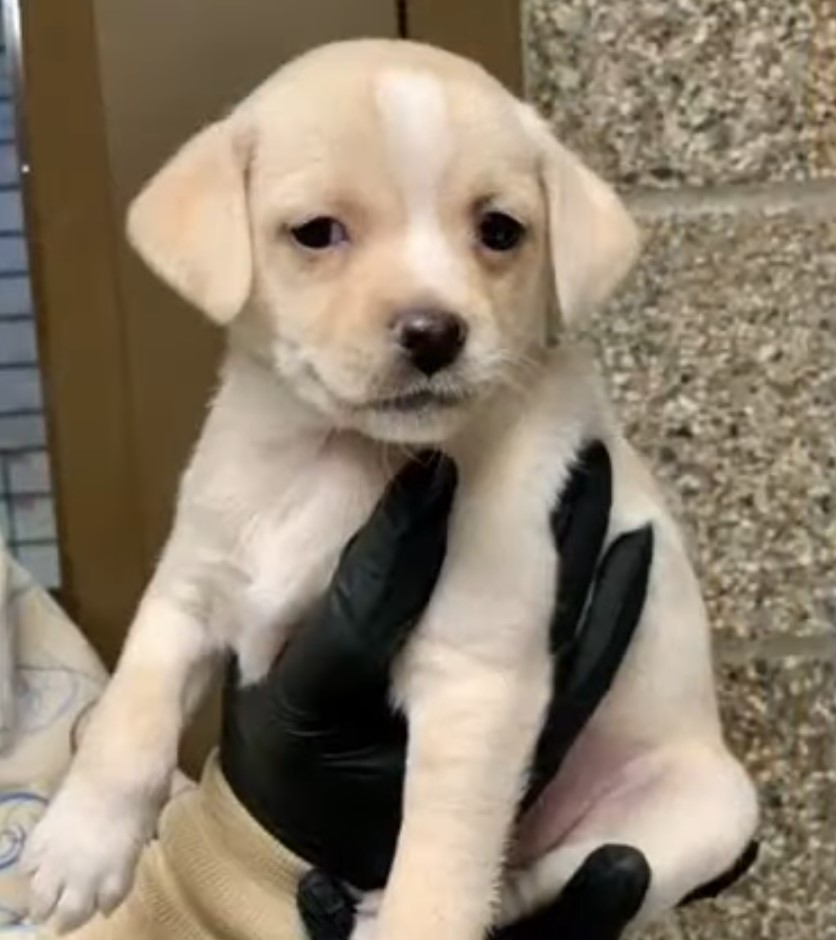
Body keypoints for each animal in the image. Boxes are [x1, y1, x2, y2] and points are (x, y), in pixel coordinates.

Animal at [24, 38, 756, 940]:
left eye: (500, 231)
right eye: (316, 234)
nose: (434, 332)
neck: (339, 455)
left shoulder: (473, 682)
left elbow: (441, 860)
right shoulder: (189, 587)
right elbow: (131, 713)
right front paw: (76, 847)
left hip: (696, 814)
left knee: (534, 874)